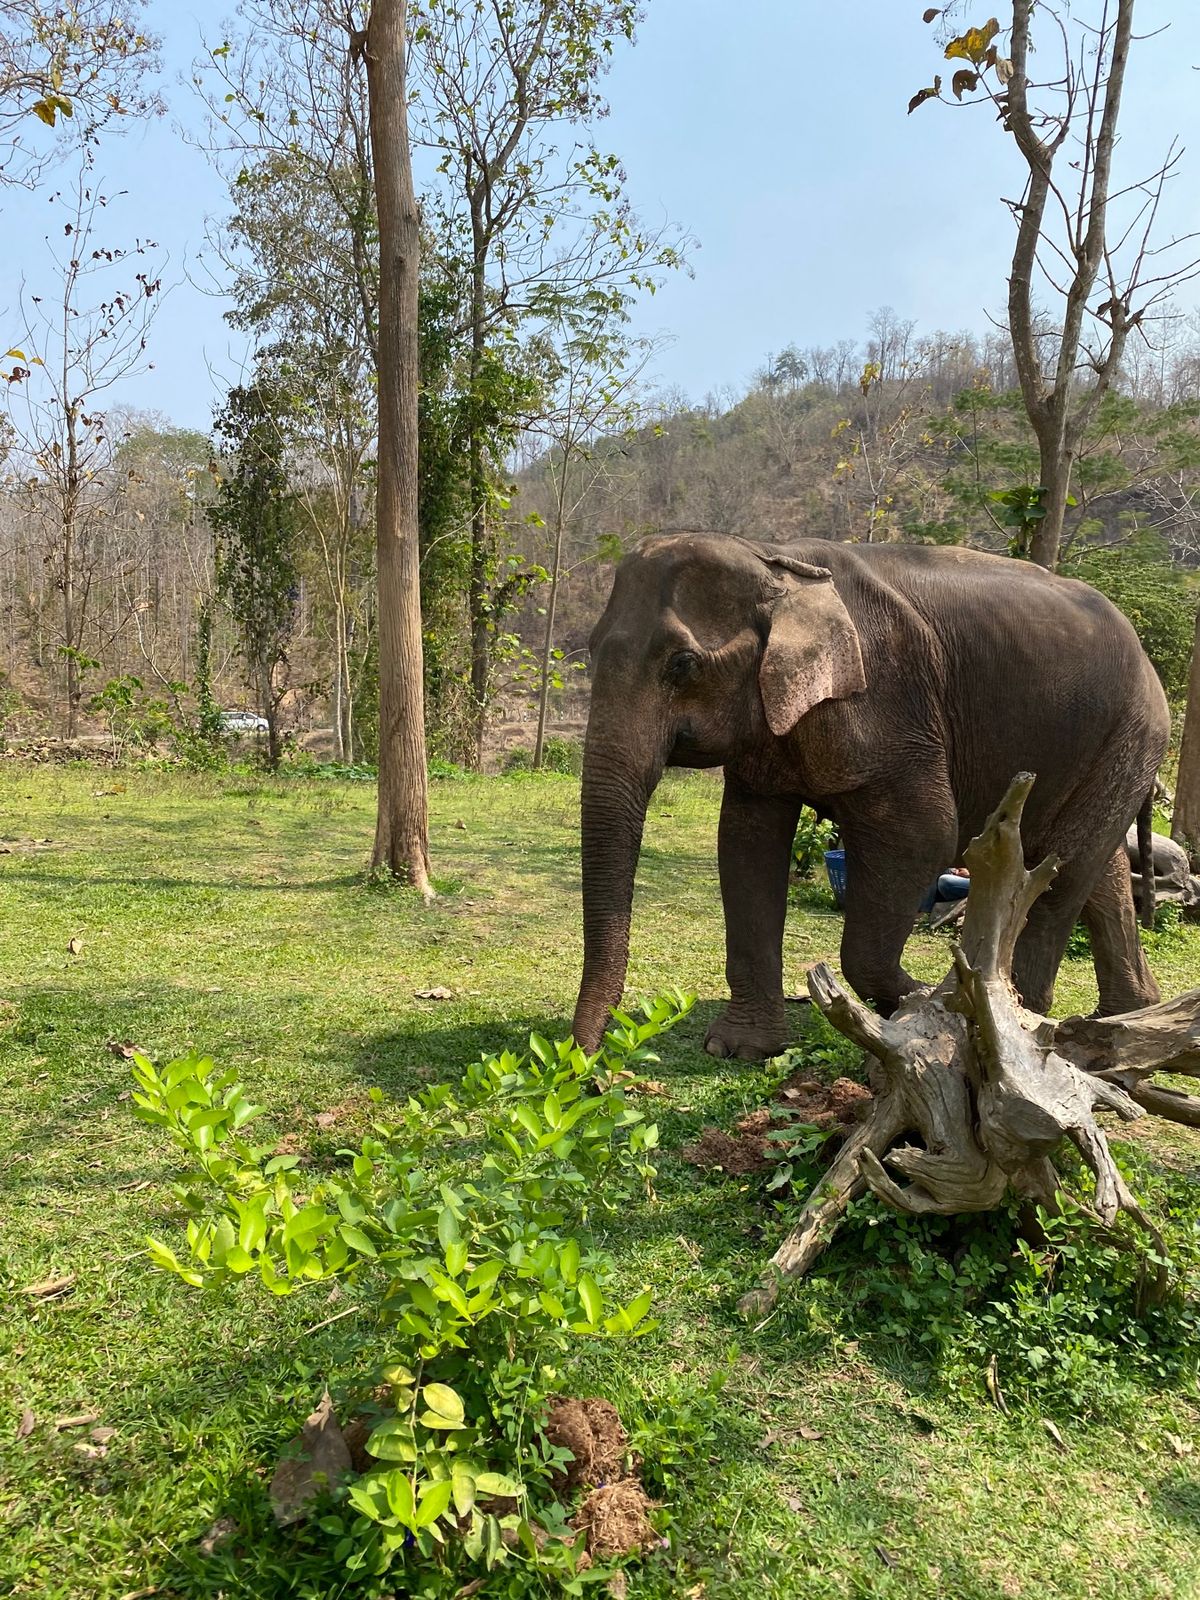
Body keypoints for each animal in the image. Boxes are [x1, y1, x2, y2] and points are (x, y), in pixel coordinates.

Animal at [571, 533, 1169, 1060]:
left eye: (682, 664)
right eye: (592, 650)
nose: (586, 1067)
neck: (776, 560)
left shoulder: (893, 709)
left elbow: (924, 837)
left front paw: (924, 999)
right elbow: (745, 844)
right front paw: (740, 1049)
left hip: (1133, 732)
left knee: (1062, 871)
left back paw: (1024, 1015)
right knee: (1098, 867)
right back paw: (1125, 1014)